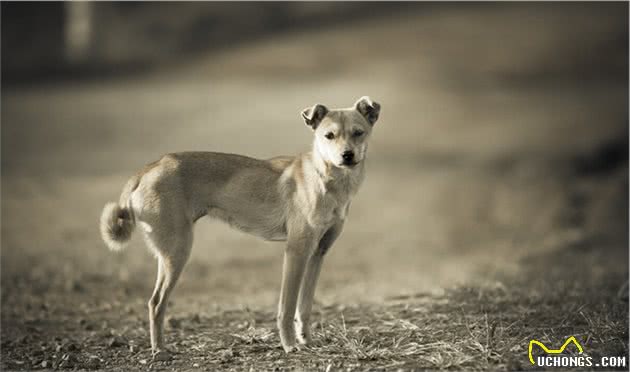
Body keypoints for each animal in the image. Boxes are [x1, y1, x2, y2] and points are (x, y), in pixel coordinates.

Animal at [101, 96, 382, 358]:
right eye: (329, 135)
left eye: (358, 132)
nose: (347, 155)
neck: (325, 178)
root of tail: (150, 167)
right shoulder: (296, 252)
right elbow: (287, 307)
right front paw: (289, 345)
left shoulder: (317, 253)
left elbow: (304, 307)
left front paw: (306, 341)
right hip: (178, 251)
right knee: (157, 303)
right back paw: (159, 350)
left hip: (170, 254)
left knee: (154, 302)